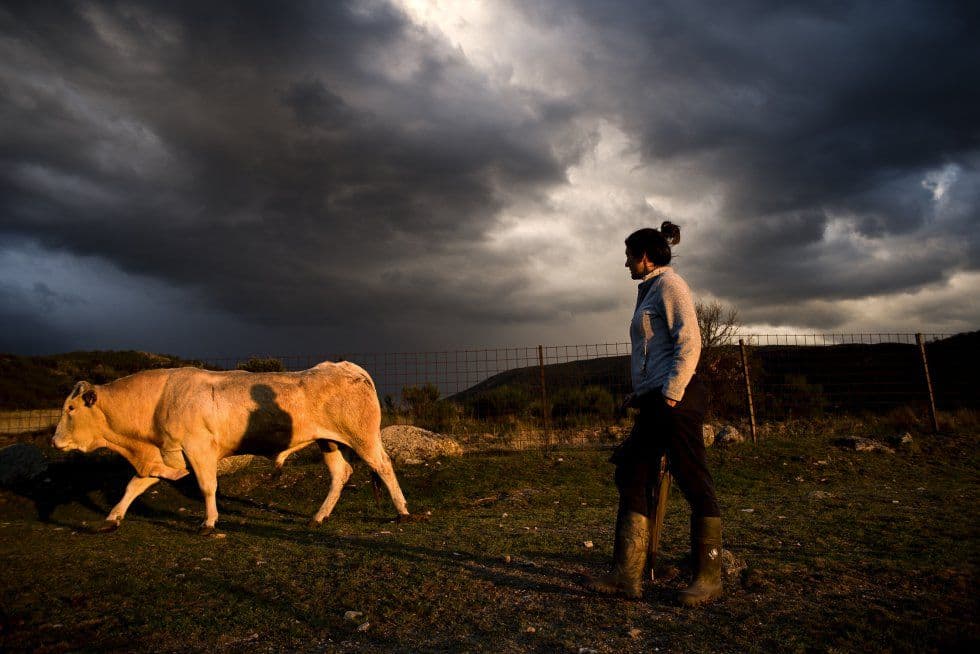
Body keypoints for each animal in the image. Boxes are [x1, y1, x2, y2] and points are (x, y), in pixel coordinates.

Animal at [50, 362, 410, 536]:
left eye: (70, 408)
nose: (55, 441)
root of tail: (348, 367)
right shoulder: (165, 455)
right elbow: (133, 486)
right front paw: (112, 519)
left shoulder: (199, 449)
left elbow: (207, 486)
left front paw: (209, 523)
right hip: (329, 441)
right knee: (341, 474)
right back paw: (317, 518)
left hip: (363, 436)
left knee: (383, 465)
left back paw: (403, 512)